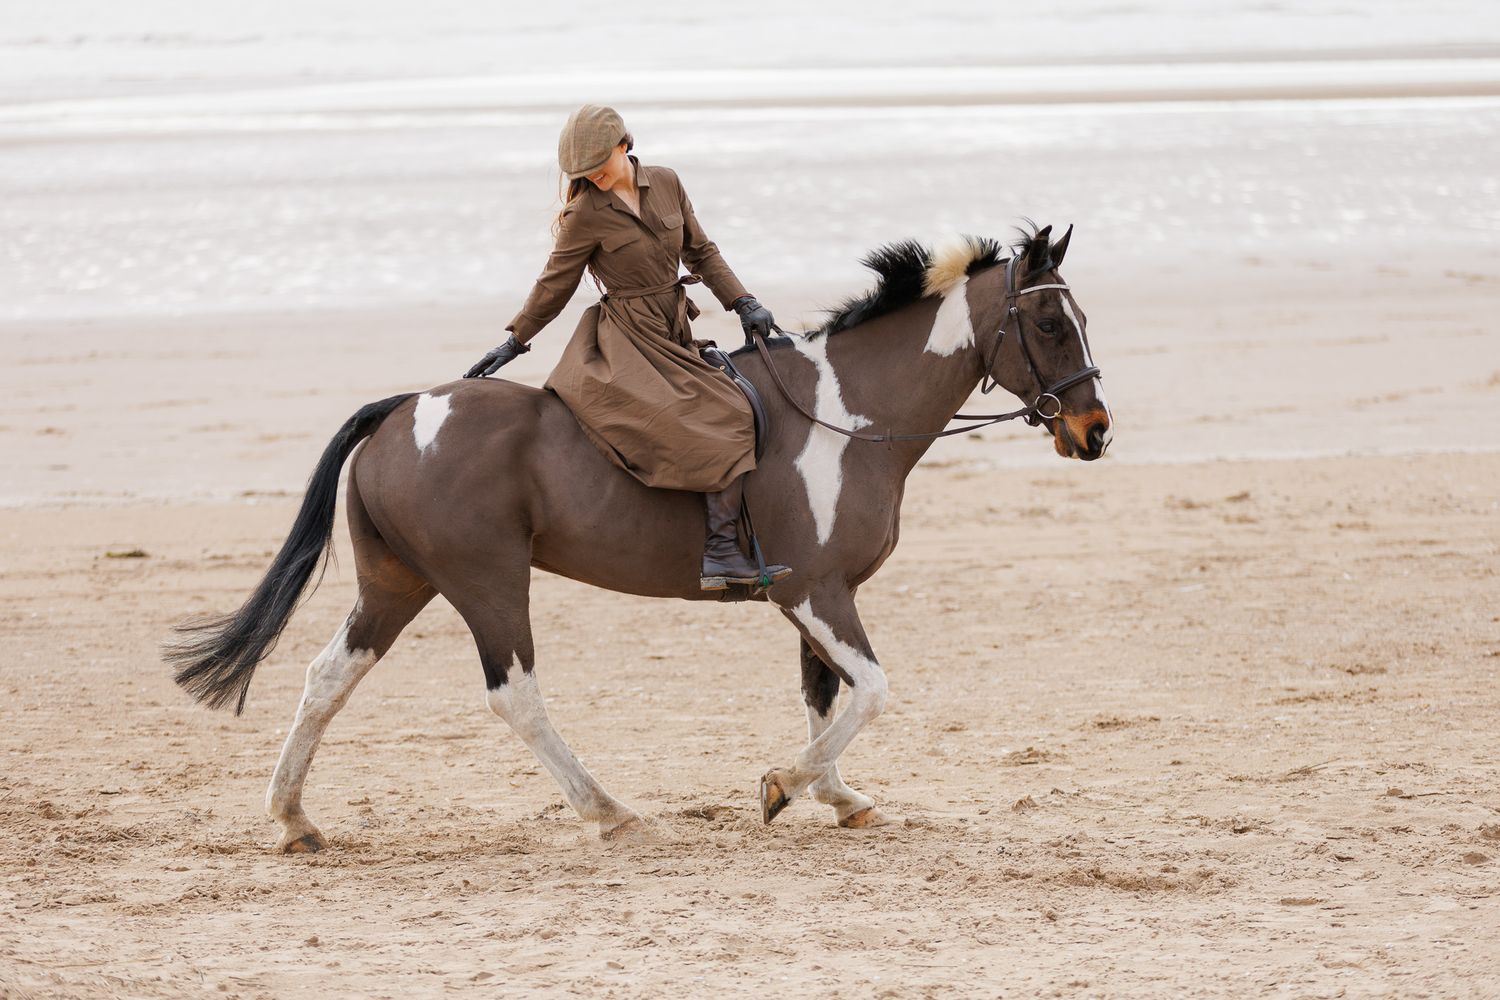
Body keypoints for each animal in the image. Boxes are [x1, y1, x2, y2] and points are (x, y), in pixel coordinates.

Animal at [166, 223, 1112, 852]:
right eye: (1051, 325)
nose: (1096, 431)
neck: (849, 417)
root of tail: (404, 409)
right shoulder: (816, 592)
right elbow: (871, 691)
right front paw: (783, 786)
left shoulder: (816, 597)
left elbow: (824, 695)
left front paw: (837, 796)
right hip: (488, 582)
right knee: (515, 695)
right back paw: (606, 810)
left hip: (398, 583)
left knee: (329, 677)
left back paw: (293, 818)